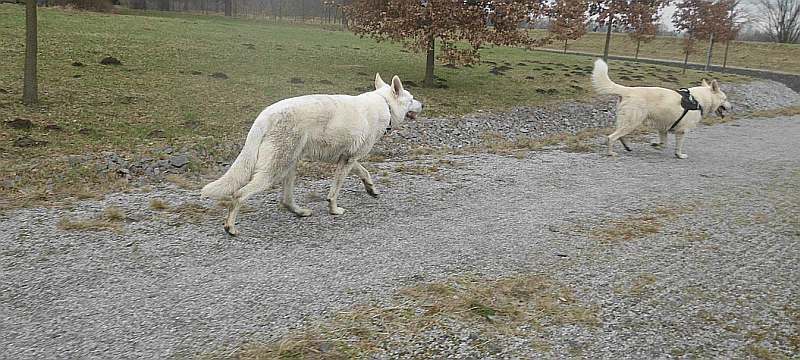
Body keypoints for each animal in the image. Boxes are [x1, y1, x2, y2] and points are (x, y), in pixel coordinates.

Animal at [202, 74, 424, 235]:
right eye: (412, 99)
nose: (423, 105)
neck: (384, 103)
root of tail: (265, 115)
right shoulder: (347, 161)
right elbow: (334, 192)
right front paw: (334, 210)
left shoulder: (348, 159)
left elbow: (365, 173)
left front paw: (371, 189)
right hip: (274, 171)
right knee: (239, 195)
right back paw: (230, 228)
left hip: (290, 165)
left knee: (286, 200)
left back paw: (300, 211)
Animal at [592, 58, 728, 158]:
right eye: (725, 99)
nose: (731, 106)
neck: (699, 99)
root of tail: (628, 90)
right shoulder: (682, 131)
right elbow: (678, 146)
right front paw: (679, 155)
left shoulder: (663, 128)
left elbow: (664, 143)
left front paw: (656, 145)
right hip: (632, 122)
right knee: (611, 137)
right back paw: (611, 153)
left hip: (626, 122)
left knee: (619, 136)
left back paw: (627, 147)